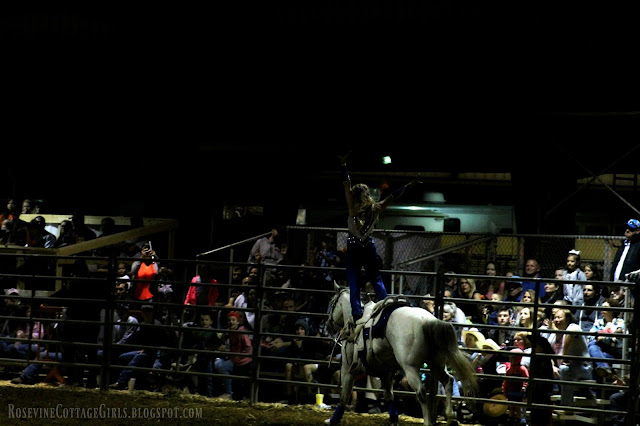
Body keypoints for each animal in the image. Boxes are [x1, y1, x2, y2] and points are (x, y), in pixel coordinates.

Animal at [324, 282, 476, 426]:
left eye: (331, 303)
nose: (328, 326)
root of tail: (428, 320)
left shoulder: (347, 369)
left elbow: (344, 396)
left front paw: (332, 420)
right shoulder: (386, 373)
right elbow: (388, 396)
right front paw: (393, 420)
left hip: (410, 367)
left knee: (421, 392)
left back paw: (428, 421)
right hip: (436, 364)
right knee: (448, 381)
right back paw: (450, 417)